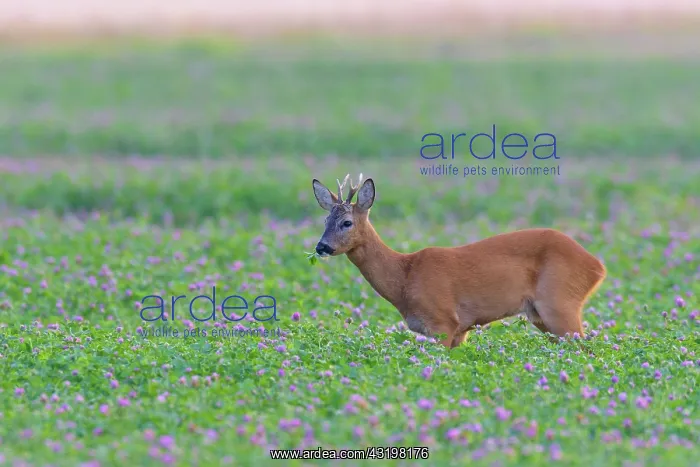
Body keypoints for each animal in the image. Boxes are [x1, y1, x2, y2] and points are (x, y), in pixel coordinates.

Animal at [311, 174, 607, 349]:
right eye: (325, 220)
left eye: (346, 222)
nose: (321, 246)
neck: (405, 278)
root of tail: (598, 267)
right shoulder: (459, 330)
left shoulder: (443, 322)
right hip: (542, 316)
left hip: (560, 302)